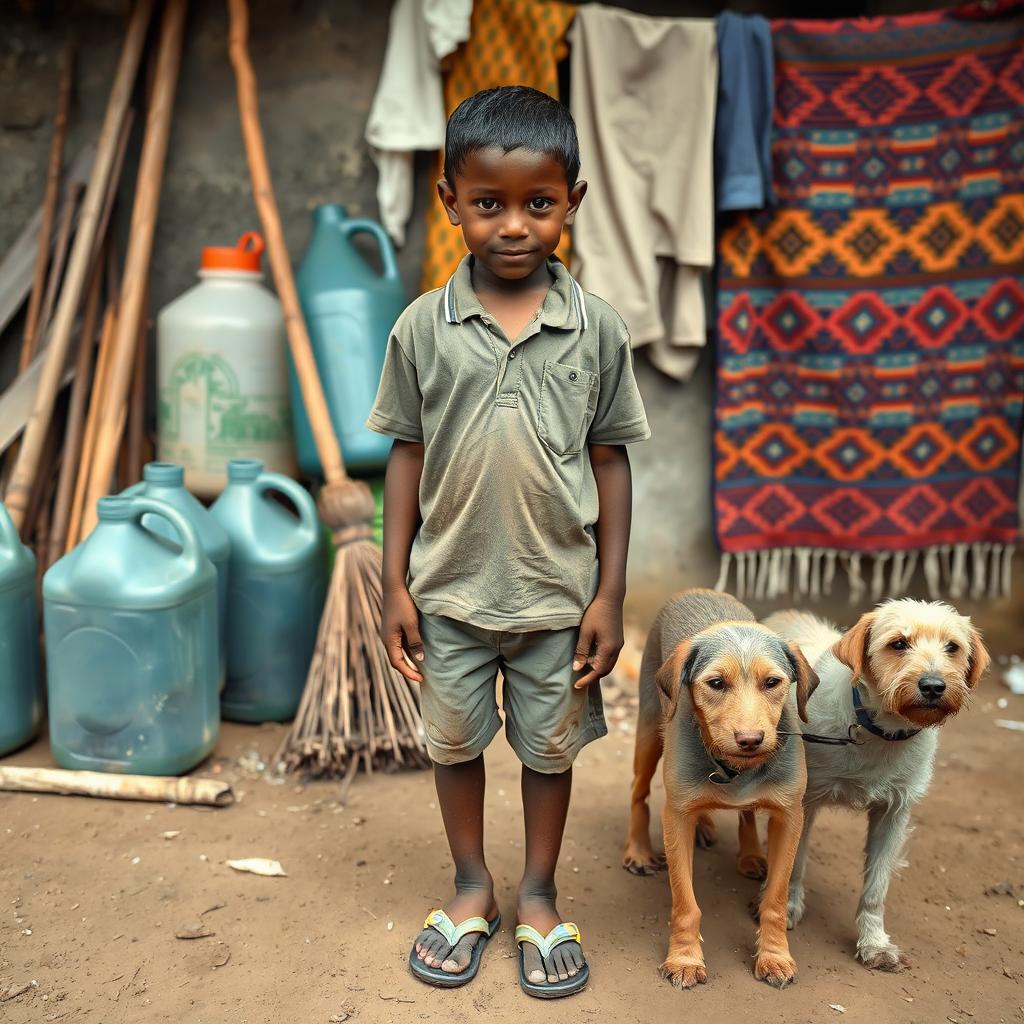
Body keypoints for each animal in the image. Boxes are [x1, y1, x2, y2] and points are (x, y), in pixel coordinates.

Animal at [618, 589, 819, 987]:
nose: (750, 740)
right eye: (715, 683)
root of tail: (694, 591)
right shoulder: (676, 816)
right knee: (638, 791)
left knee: (744, 813)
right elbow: (685, 904)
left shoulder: (790, 816)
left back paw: (748, 852)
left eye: (772, 683)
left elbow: (775, 901)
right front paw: (684, 959)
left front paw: (774, 956)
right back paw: (639, 851)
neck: (734, 771)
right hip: (649, 729)